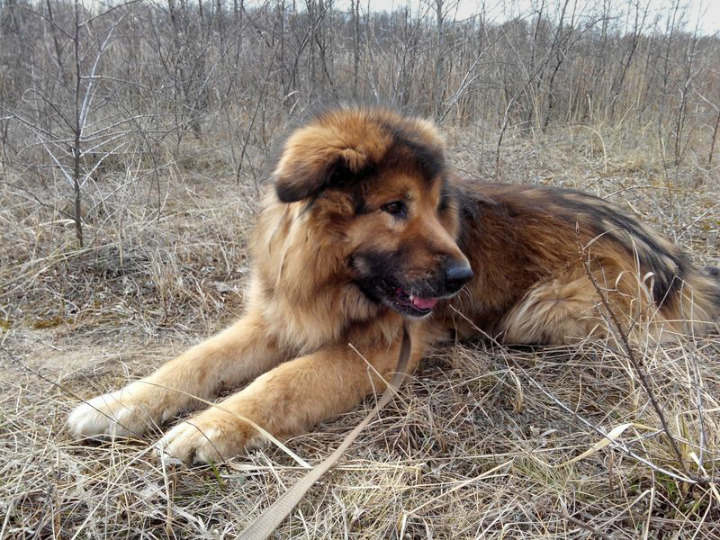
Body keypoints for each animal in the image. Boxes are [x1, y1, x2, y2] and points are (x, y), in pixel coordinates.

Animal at [69, 106, 720, 464]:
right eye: (395, 207)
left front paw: (210, 425)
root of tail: (677, 261)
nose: (462, 277)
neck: (335, 280)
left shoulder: (381, 348)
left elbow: (281, 382)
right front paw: (117, 404)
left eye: (437, 207)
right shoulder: (276, 318)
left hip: (542, 308)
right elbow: (193, 361)